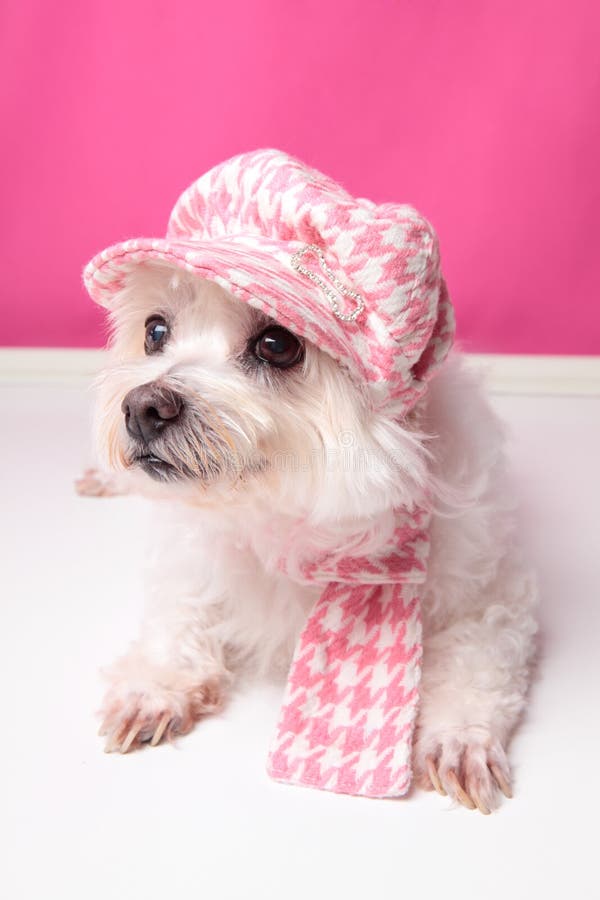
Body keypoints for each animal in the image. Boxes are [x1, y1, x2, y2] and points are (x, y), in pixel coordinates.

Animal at [78, 149, 536, 816]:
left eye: (277, 343)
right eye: (155, 331)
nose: (141, 408)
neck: (296, 522)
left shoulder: (498, 596)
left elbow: (479, 668)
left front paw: (460, 740)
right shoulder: (186, 552)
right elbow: (178, 617)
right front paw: (155, 686)